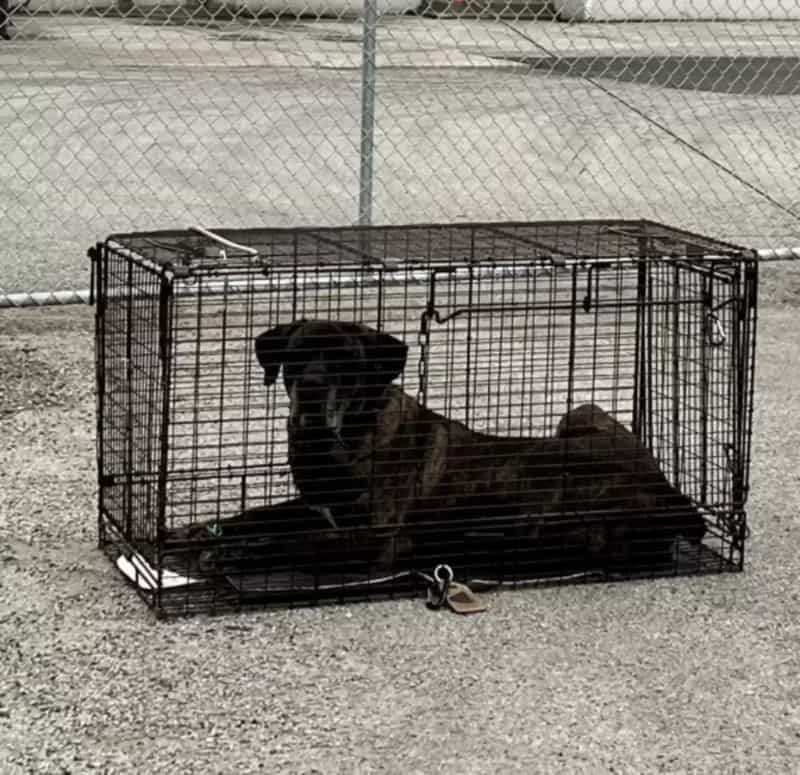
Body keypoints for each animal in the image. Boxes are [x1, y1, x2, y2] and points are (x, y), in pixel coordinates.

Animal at [166, 322, 704, 584]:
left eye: (345, 362)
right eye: (296, 358)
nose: (313, 391)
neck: (343, 441)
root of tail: (671, 492)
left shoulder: (376, 538)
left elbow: (296, 542)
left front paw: (234, 553)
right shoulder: (318, 508)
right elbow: (257, 515)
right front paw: (199, 531)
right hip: (579, 413)